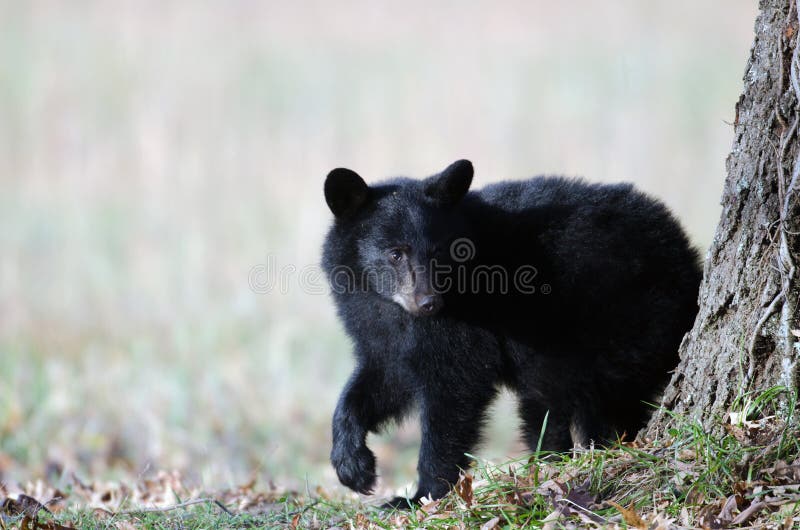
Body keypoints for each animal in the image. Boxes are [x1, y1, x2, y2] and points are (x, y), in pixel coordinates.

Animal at [318, 159, 700, 506]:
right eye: (395, 253)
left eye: (440, 250)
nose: (429, 302)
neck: (391, 307)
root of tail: (688, 256)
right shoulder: (381, 331)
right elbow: (381, 380)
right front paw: (353, 465)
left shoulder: (462, 326)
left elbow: (455, 390)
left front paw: (421, 496)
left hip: (612, 324)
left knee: (577, 399)